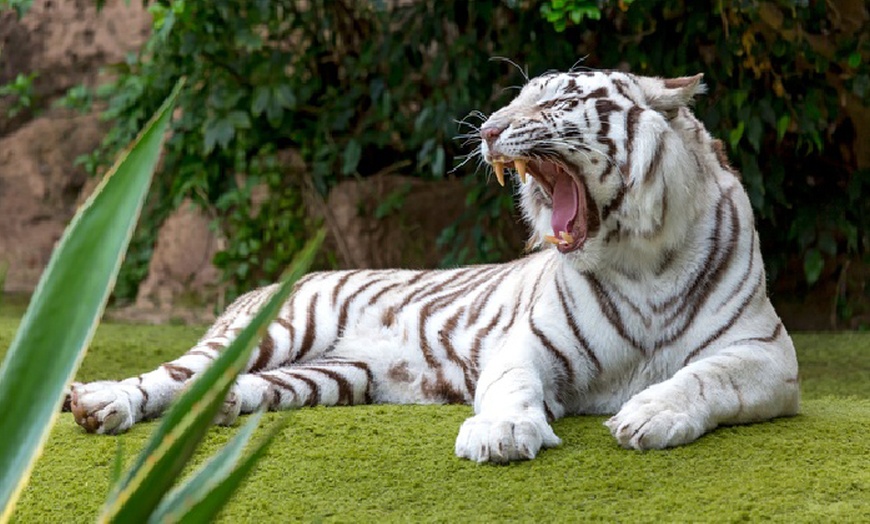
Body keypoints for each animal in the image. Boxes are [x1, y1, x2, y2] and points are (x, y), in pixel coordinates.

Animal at [70, 69, 804, 462]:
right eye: (517, 98)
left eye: (555, 101)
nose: (487, 129)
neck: (642, 257)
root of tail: (266, 286)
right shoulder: (527, 345)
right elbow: (512, 386)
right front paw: (502, 433)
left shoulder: (767, 355)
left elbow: (706, 378)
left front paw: (649, 416)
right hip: (277, 332)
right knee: (172, 376)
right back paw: (99, 402)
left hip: (331, 376)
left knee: (230, 388)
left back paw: (223, 409)